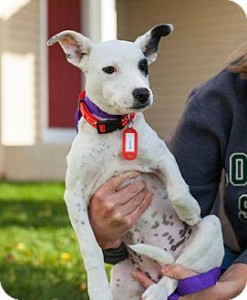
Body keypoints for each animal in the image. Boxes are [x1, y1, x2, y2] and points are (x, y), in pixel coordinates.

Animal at [46, 24, 224, 300]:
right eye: (109, 69)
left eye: (143, 66)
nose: (142, 93)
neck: (114, 130)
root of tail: (153, 273)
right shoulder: (74, 196)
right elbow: (90, 248)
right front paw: (97, 288)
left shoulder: (163, 158)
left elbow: (178, 189)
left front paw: (190, 210)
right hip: (123, 278)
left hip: (211, 229)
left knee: (177, 273)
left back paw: (159, 290)